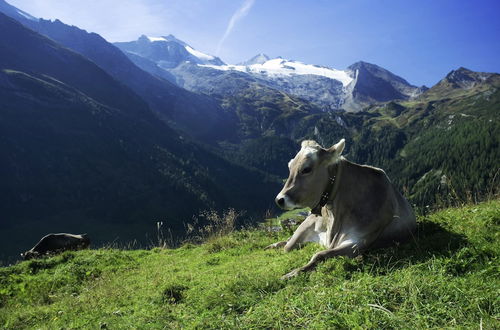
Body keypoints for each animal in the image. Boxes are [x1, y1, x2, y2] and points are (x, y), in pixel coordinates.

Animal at [268, 139, 416, 278]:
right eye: (290, 166)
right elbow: (290, 247)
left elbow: (319, 255)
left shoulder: (358, 241)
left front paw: (292, 273)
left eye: (306, 169)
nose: (279, 199)